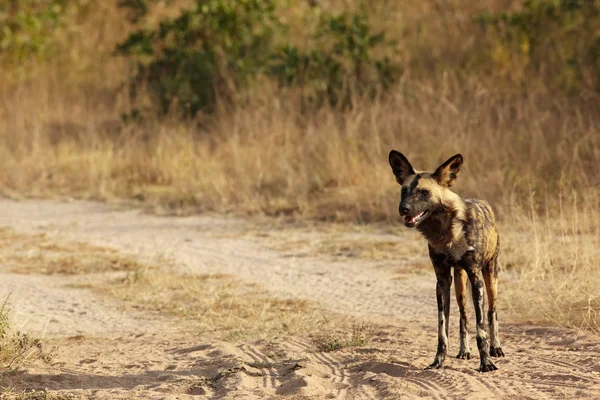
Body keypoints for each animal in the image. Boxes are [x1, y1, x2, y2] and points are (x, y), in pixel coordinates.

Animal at [390, 151, 502, 372]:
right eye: (404, 191)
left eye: (424, 192)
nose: (403, 209)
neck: (447, 231)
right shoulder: (442, 280)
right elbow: (443, 329)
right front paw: (438, 361)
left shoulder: (476, 277)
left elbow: (481, 328)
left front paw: (486, 363)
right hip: (460, 285)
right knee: (463, 316)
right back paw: (464, 350)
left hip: (490, 277)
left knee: (492, 313)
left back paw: (496, 348)